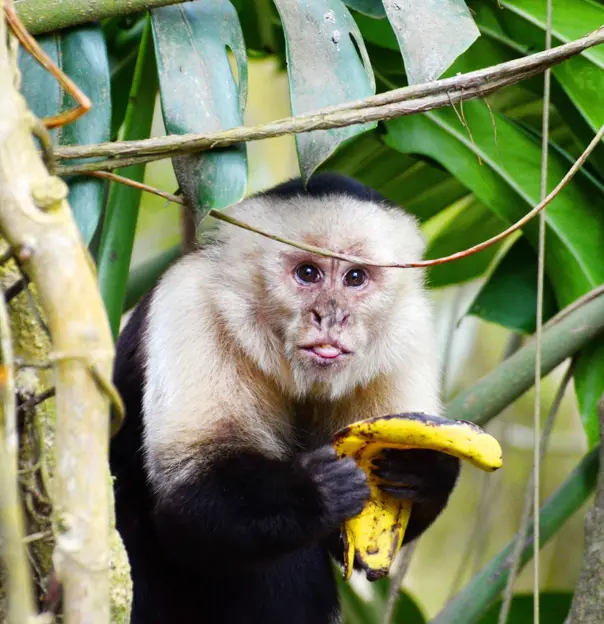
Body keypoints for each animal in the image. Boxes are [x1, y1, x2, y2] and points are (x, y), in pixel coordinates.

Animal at [109, 173, 458, 624]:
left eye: (355, 278)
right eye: (307, 273)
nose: (332, 316)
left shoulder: (407, 335)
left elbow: (346, 539)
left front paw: (425, 470)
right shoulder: (192, 305)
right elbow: (188, 500)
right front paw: (314, 490)